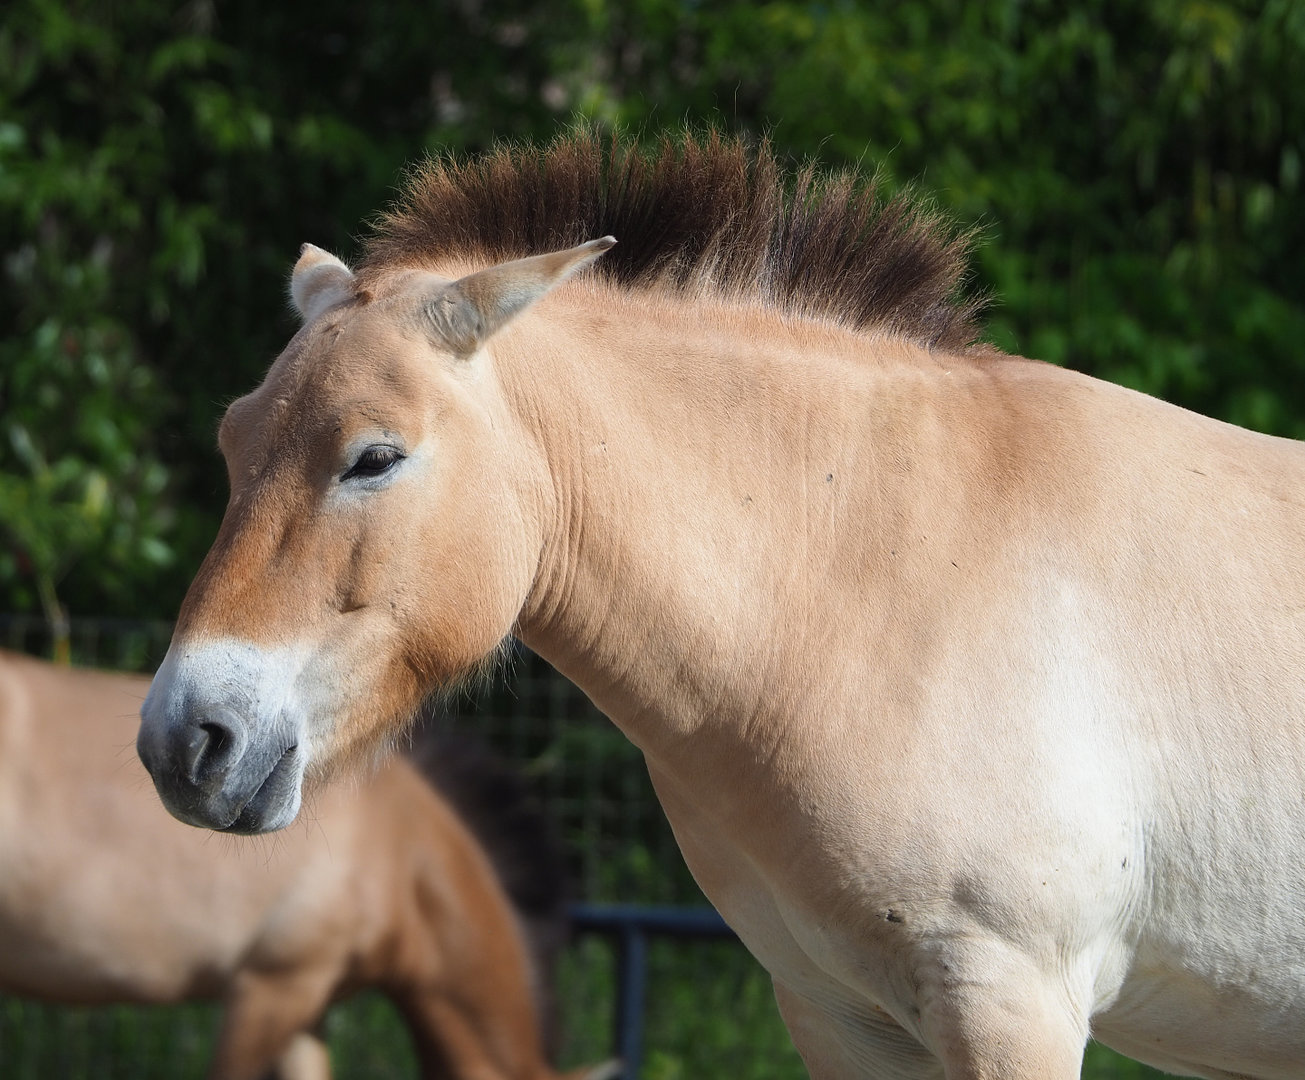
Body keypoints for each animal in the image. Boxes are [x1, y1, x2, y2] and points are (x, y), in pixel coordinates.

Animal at [136, 130, 1305, 1079]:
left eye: (374, 457)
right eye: (234, 443)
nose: (183, 741)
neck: (881, 574)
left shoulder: (1012, 1003)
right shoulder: (845, 1019)